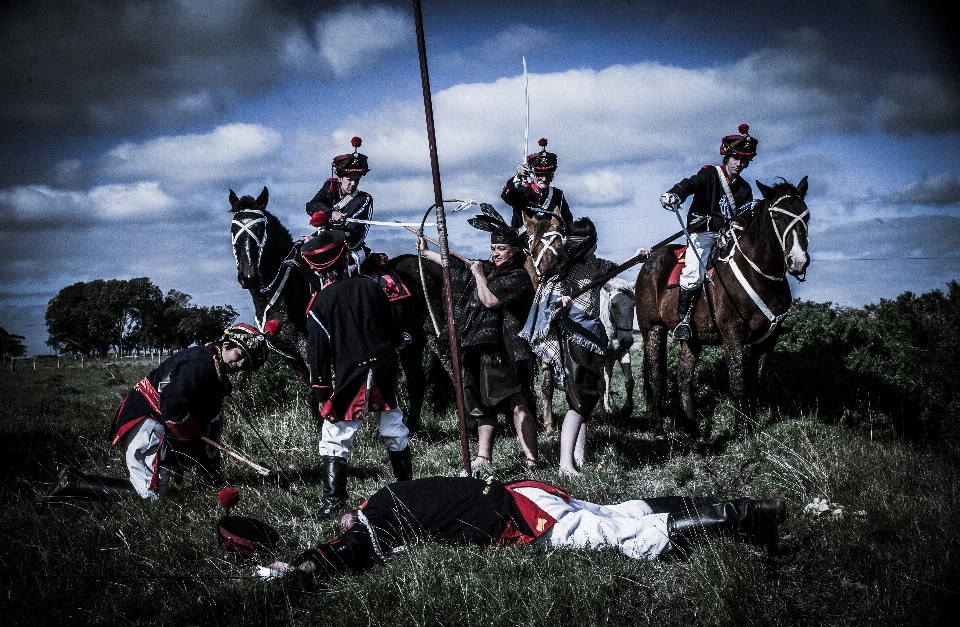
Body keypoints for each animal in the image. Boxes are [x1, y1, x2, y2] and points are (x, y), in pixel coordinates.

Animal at [229, 186, 432, 432]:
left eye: (260, 228)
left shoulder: (309, 349)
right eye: (234, 228)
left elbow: (320, 392)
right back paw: (413, 428)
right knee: (416, 381)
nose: (249, 276)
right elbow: (309, 393)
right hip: (412, 345)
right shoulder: (291, 359)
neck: (289, 288)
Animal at [636, 174, 808, 444]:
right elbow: (738, 382)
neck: (760, 274)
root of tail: (649, 260)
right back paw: (659, 430)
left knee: (683, 378)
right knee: (657, 378)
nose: (798, 262)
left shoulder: (767, 340)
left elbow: (755, 383)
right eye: (777, 218)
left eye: (806, 216)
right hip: (652, 330)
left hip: (692, 339)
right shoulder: (732, 335)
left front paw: (752, 427)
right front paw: (739, 432)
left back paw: (693, 429)